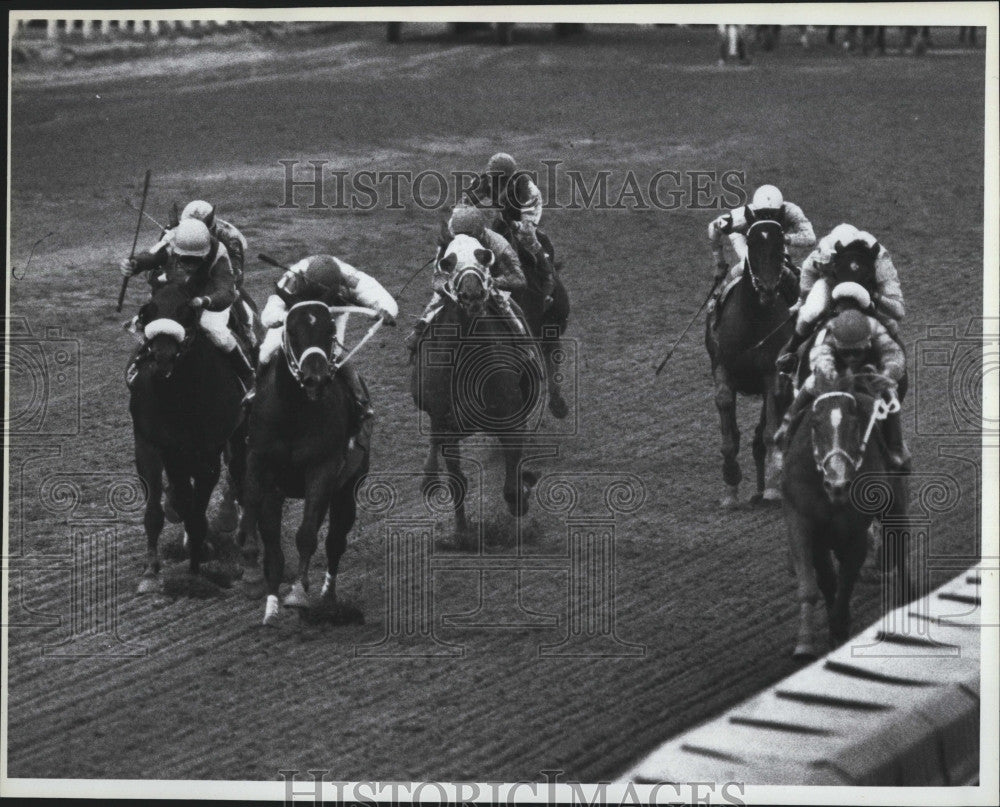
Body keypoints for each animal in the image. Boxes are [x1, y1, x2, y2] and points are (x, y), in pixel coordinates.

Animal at [129, 284, 248, 592]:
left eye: (186, 312)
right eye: (148, 312)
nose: (162, 357)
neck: (177, 397)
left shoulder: (207, 455)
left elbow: (196, 516)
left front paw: (194, 572)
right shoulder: (151, 445)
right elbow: (157, 511)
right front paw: (150, 572)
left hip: (239, 436)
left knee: (241, 478)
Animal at [238, 304, 372, 624]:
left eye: (330, 330)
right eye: (292, 331)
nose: (315, 378)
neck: (293, 414)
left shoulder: (322, 470)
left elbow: (307, 534)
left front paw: (298, 593)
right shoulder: (261, 465)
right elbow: (268, 542)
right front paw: (266, 599)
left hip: (346, 488)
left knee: (335, 542)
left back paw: (328, 600)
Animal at [410, 235, 544, 536]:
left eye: (484, 256)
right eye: (448, 262)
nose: (471, 294)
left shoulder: (511, 421)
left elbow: (512, 487)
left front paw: (524, 491)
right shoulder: (446, 424)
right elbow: (457, 481)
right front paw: (462, 534)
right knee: (434, 437)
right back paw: (428, 476)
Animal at [704, 219, 796, 504]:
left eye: (779, 245)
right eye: (752, 244)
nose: (767, 288)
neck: (752, 320)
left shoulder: (772, 374)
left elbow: (769, 434)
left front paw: (773, 487)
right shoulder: (723, 368)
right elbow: (727, 420)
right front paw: (731, 482)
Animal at [784, 376, 912, 660]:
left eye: (854, 425)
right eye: (815, 424)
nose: (838, 484)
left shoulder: (854, 533)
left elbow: (846, 583)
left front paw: (839, 629)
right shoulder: (802, 521)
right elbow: (815, 584)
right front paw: (805, 643)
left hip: (896, 498)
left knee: (899, 542)